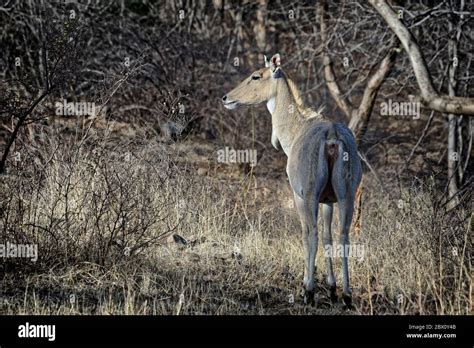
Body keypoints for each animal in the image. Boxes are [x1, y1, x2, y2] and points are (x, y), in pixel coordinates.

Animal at [222, 53, 362, 306]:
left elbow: (307, 234)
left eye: (256, 76)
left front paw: (309, 286)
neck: (296, 129)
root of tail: (332, 138)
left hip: (309, 194)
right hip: (346, 194)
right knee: (343, 235)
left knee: (311, 233)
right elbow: (328, 236)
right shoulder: (328, 200)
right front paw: (332, 288)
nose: (226, 97)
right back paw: (346, 295)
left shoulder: (299, 195)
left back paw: (309, 292)